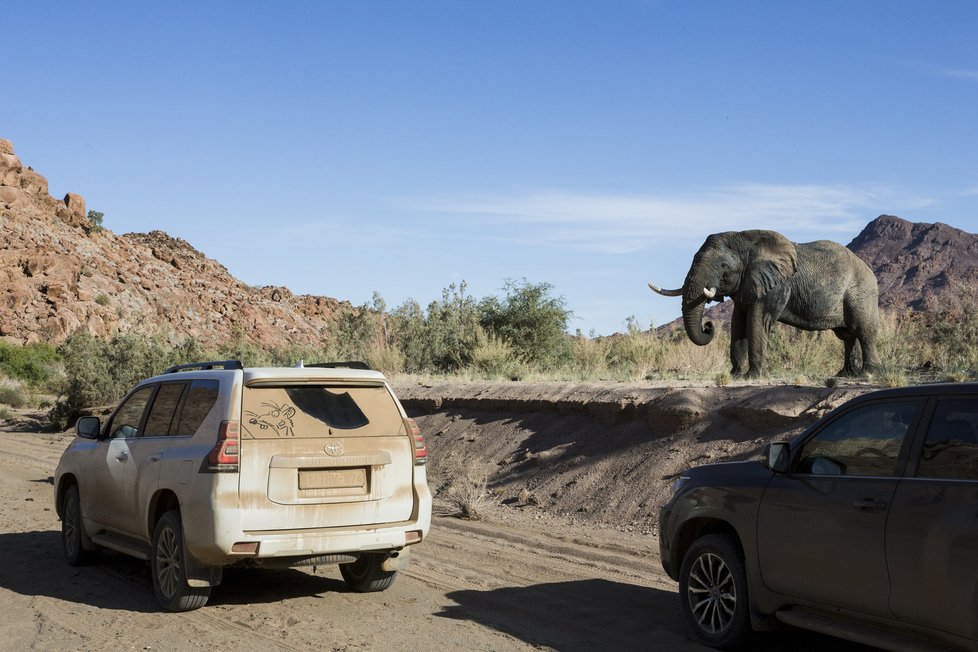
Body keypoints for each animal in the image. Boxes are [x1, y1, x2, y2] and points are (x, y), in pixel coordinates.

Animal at [652, 232, 880, 380]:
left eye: (724, 266)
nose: (708, 326)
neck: (746, 240)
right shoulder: (746, 285)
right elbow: (738, 323)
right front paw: (735, 376)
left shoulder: (776, 285)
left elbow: (757, 320)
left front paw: (752, 377)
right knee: (847, 335)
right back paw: (845, 375)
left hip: (861, 292)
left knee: (863, 330)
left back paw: (867, 374)